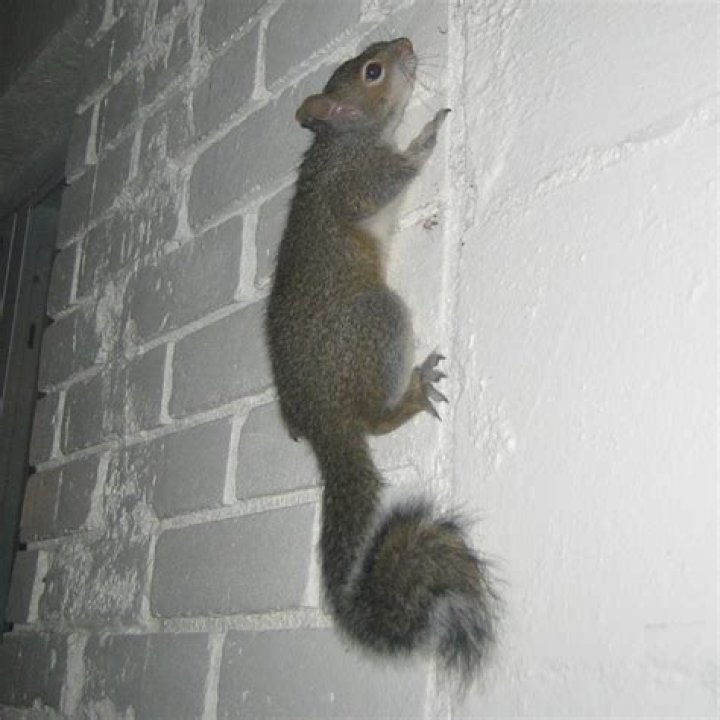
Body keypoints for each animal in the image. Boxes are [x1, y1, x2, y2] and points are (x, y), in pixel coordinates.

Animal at [266, 37, 498, 686]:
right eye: (372, 71)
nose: (407, 44)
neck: (337, 142)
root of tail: (325, 424)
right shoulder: (359, 179)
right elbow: (396, 171)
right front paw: (427, 132)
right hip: (381, 320)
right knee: (376, 418)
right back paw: (411, 395)